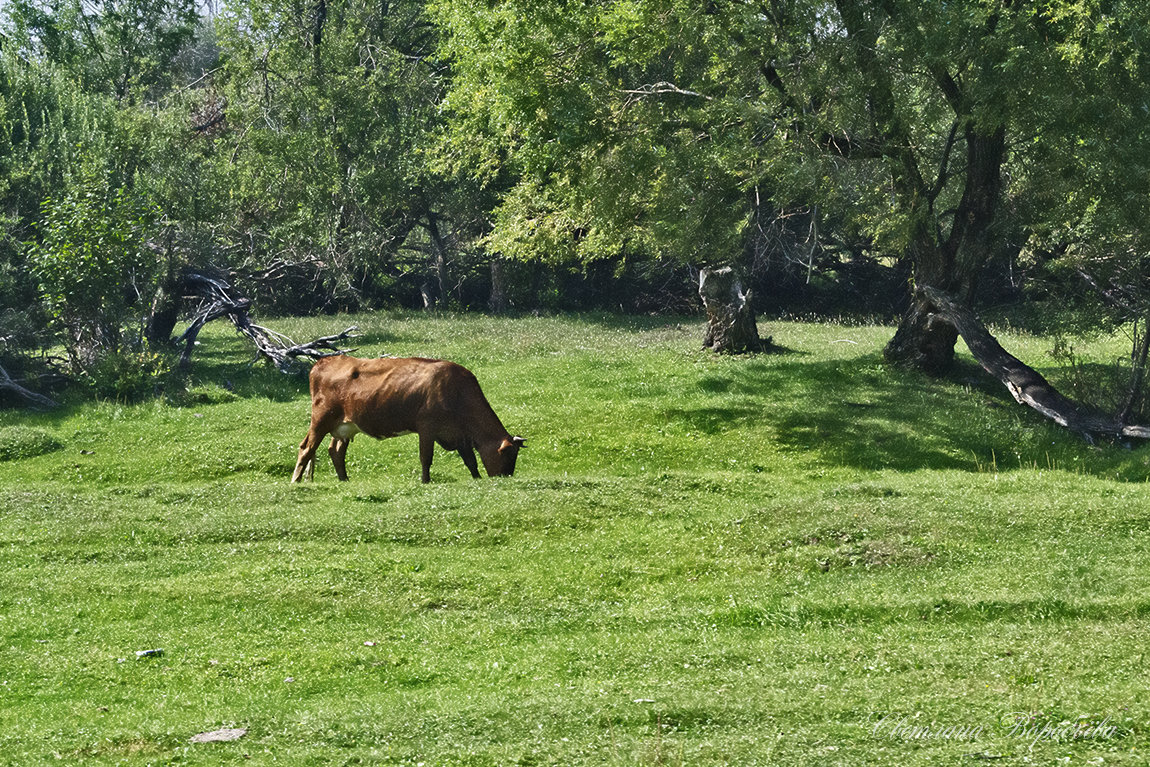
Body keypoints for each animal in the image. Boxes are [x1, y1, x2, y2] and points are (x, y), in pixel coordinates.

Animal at [289, 356, 524, 485]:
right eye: (507, 456)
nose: (505, 478)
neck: (458, 392)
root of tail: (324, 360)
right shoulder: (427, 428)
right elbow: (426, 458)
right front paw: (425, 481)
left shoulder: (459, 434)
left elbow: (471, 461)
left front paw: (477, 479)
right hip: (321, 419)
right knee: (307, 448)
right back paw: (296, 480)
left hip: (344, 426)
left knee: (336, 451)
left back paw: (344, 479)